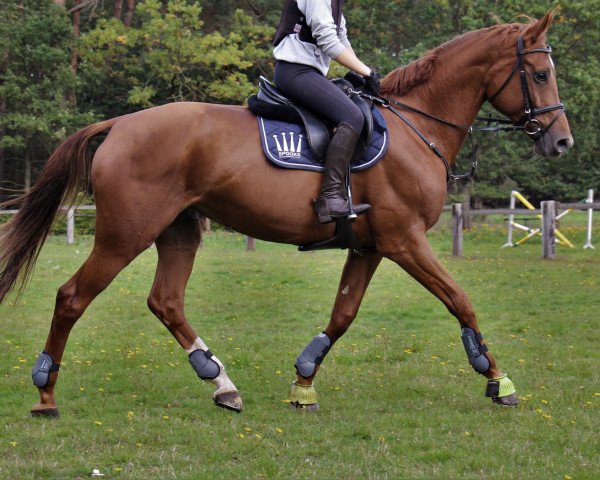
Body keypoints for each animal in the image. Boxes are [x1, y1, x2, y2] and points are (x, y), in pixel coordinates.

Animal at [0, 11, 572, 416]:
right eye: (541, 73)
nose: (561, 142)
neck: (416, 127)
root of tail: (120, 124)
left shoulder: (371, 246)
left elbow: (343, 315)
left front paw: (303, 382)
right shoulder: (405, 240)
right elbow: (460, 300)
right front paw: (496, 378)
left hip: (179, 231)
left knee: (166, 302)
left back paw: (221, 384)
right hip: (125, 234)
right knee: (72, 298)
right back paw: (46, 395)